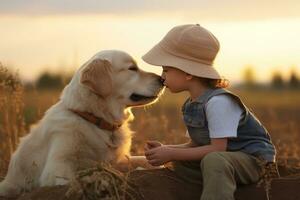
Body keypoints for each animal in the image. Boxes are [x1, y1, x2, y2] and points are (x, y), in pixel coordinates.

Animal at [0, 49, 164, 197]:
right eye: (132, 68)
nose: (163, 79)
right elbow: (93, 174)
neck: (94, 120)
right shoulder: (56, 170)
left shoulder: (118, 159)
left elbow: (139, 160)